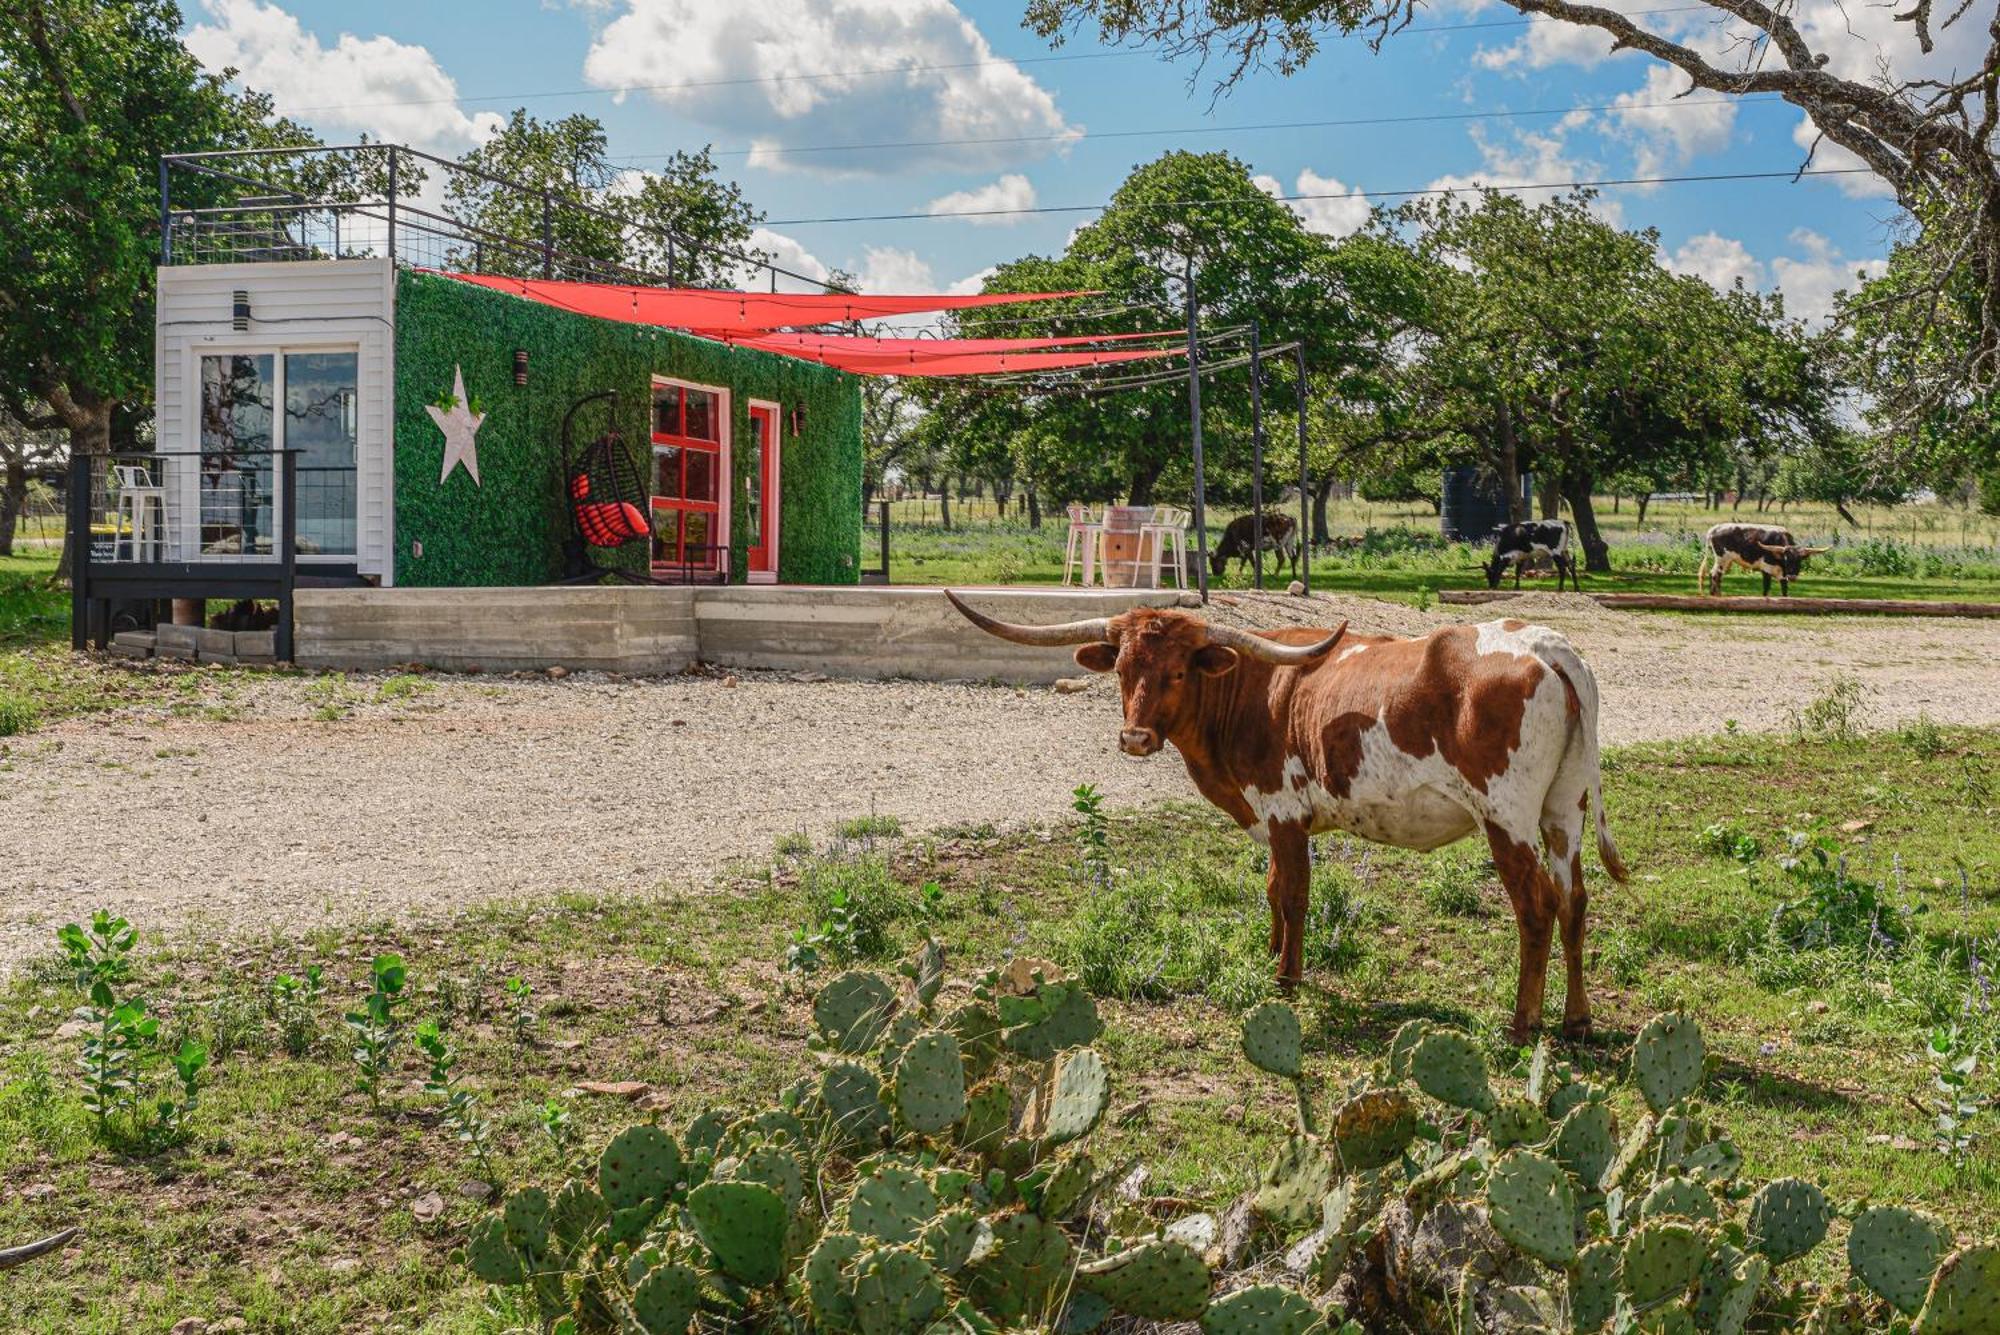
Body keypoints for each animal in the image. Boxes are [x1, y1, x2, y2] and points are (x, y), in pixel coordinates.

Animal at [1696, 523, 1824, 595]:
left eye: (1800, 560)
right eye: (1786, 559)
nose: (1792, 577)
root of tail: (1715, 528)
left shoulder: (1783, 574)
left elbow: (1784, 589)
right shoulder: (1766, 569)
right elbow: (1766, 588)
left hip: (1726, 561)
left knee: (1717, 575)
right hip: (1722, 558)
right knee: (1715, 574)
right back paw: (1716, 595)